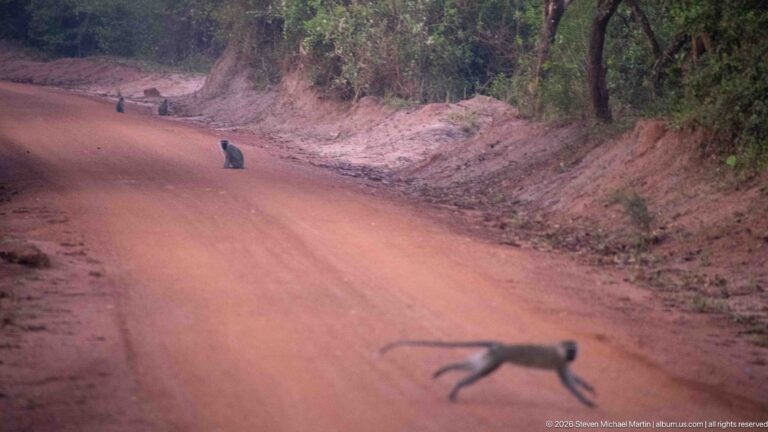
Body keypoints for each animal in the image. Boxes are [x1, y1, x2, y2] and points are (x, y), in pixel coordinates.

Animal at [378, 339, 596, 407]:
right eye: (571, 350)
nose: (574, 355)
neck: (560, 351)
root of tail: (500, 346)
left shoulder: (564, 363)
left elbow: (574, 379)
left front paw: (590, 388)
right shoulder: (560, 362)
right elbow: (568, 384)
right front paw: (587, 401)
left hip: (489, 357)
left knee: (472, 366)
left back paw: (443, 371)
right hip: (496, 360)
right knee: (478, 374)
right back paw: (456, 388)